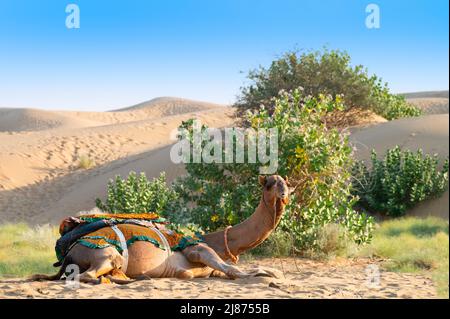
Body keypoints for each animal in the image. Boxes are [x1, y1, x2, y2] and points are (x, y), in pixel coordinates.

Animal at [33, 175, 290, 284]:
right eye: (270, 184)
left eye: (284, 182)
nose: (284, 193)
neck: (216, 240)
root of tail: (68, 254)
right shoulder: (198, 250)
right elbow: (233, 270)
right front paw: (267, 276)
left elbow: (234, 269)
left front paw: (272, 272)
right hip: (105, 252)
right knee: (88, 274)